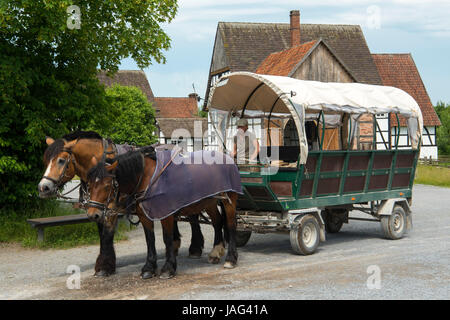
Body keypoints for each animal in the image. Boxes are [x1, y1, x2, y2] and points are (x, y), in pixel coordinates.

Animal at [37, 130, 207, 278]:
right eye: (45, 161)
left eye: (61, 160)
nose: (43, 187)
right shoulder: (98, 208)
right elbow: (102, 235)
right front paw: (105, 263)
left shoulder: (110, 207)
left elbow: (107, 234)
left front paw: (104, 267)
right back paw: (176, 244)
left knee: (193, 217)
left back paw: (195, 248)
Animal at [84, 146, 239, 278]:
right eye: (89, 185)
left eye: (106, 185)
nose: (93, 214)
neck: (148, 177)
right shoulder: (144, 215)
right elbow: (150, 239)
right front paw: (149, 268)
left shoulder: (166, 214)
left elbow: (167, 238)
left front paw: (168, 268)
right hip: (209, 202)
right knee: (217, 222)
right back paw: (215, 252)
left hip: (229, 201)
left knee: (231, 225)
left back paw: (231, 259)